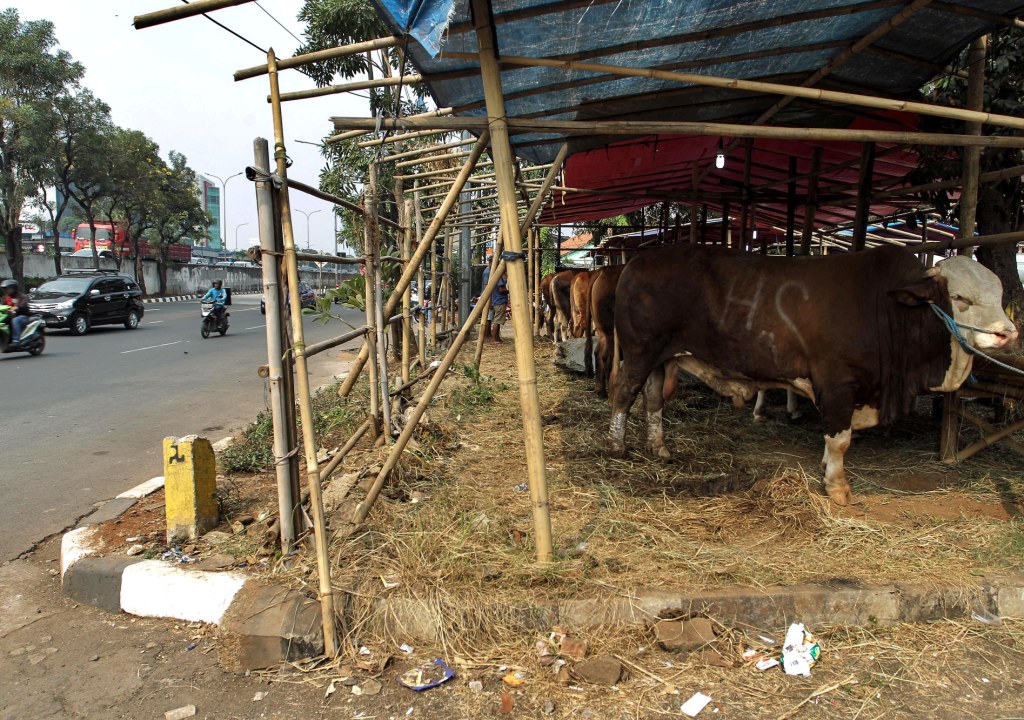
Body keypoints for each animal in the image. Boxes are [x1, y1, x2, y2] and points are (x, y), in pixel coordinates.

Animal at [606, 244, 1015, 503]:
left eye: (999, 294)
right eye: (960, 298)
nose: (1006, 332)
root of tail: (635, 262)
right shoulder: (838, 383)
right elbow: (840, 439)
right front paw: (837, 487)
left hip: (662, 358)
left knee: (653, 399)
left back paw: (659, 448)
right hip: (641, 352)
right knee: (624, 394)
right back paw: (616, 446)